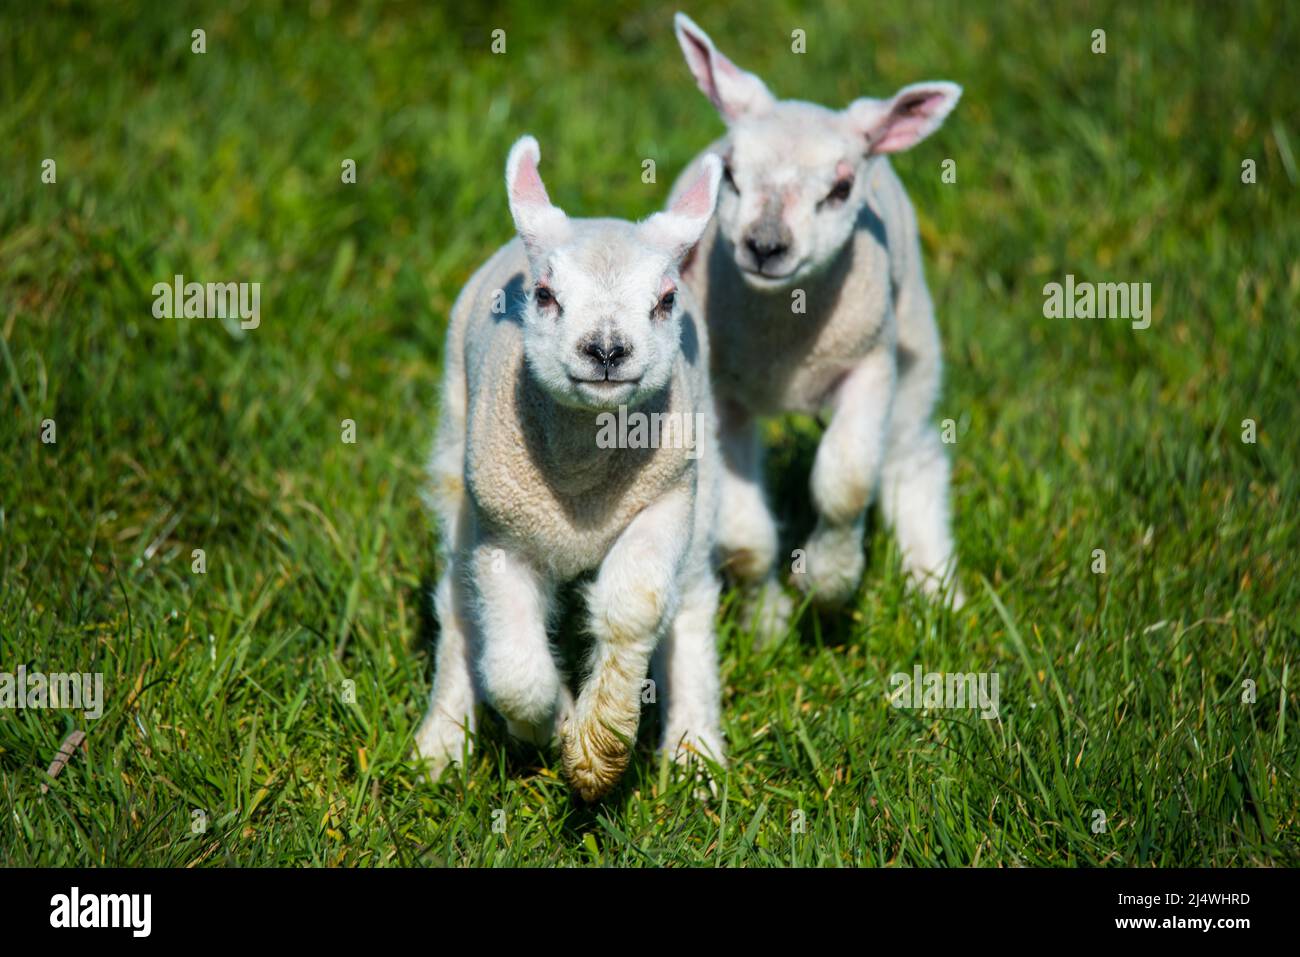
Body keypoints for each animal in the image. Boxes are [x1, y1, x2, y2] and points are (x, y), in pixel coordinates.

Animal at [410, 130, 728, 795]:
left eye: (665, 301)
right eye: (545, 295)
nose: (606, 350)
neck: (583, 481)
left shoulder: (665, 499)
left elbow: (636, 606)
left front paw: (598, 744)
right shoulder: (503, 532)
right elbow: (512, 671)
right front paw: (551, 721)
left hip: (703, 478)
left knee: (691, 598)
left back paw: (695, 754)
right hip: (456, 456)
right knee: (457, 602)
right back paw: (441, 745)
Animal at [670, 11, 967, 634]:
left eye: (841, 188)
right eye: (730, 173)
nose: (765, 246)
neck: (787, 343)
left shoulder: (869, 364)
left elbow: (846, 483)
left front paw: (828, 585)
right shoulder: (720, 394)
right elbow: (743, 535)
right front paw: (767, 624)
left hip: (913, 332)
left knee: (912, 454)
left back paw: (935, 589)